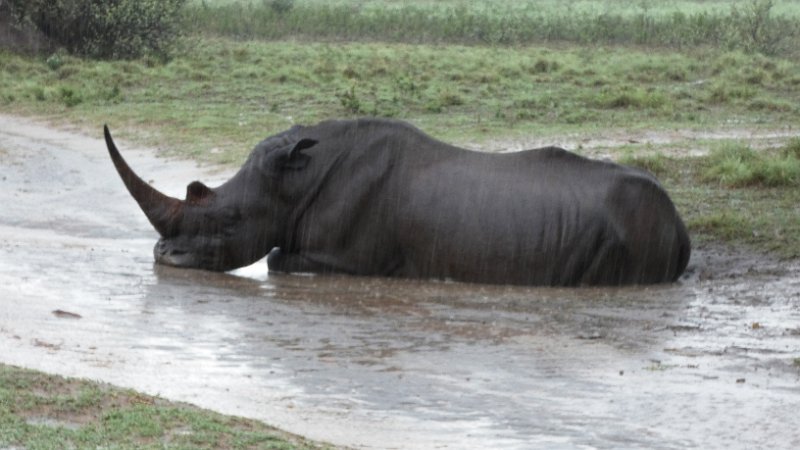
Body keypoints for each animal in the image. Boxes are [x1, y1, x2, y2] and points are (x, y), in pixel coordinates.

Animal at [106, 118, 690, 286]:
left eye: (229, 220)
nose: (162, 257)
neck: (294, 181)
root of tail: (683, 228)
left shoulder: (345, 257)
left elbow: (273, 258)